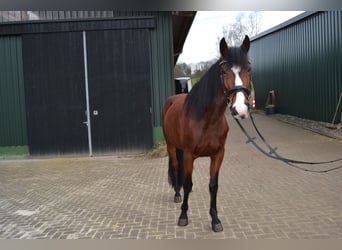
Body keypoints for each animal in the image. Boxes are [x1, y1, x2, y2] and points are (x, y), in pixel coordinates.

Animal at [160, 35, 251, 232]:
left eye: (249, 68)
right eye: (224, 71)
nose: (240, 109)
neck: (207, 119)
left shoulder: (218, 154)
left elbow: (213, 185)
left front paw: (215, 219)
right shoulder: (188, 155)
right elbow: (187, 184)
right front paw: (183, 216)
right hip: (171, 146)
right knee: (176, 167)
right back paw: (177, 194)